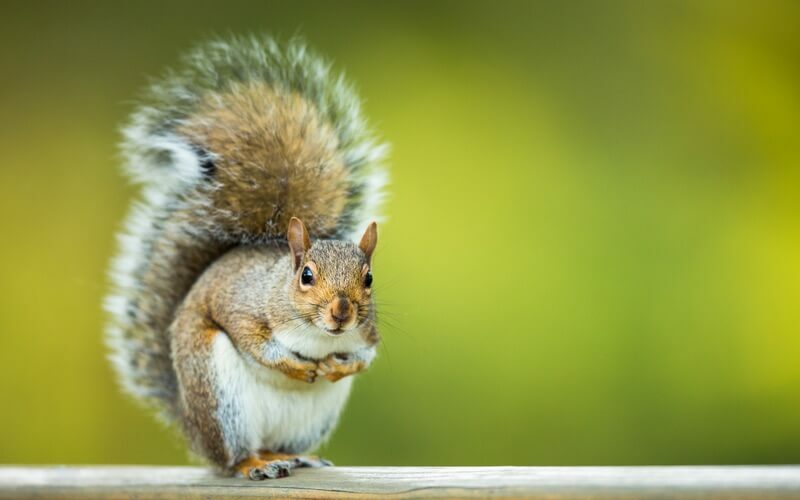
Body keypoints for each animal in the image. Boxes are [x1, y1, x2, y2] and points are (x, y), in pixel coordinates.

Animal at [104, 36, 387, 480]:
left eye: (369, 279)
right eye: (306, 276)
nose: (342, 313)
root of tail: (191, 425)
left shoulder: (368, 333)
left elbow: (366, 356)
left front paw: (338, 367)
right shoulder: (243, 307)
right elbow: (256, 344)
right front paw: (298, 367)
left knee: (277, 445)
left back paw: (292, 457)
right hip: (220, 397)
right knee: (232, 456)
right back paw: (253, 464)